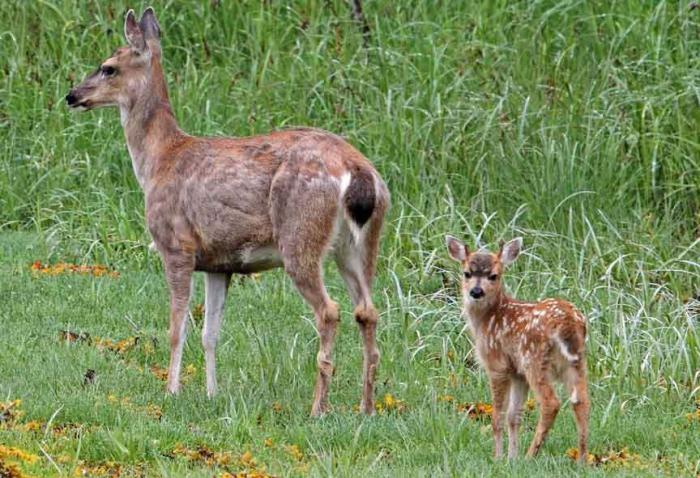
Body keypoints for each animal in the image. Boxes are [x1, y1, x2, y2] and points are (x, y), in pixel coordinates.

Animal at [65, 6, 388, 414]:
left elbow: (176, 327)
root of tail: (357, 170)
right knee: (368, 311)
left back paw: (318, 408)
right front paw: (211, 393)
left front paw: (171, 391)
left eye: (108, 67)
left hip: (300, 234)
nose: (72, 95)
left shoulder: (176, 245)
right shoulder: (219, 263)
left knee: (330, 311)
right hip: (360, 243)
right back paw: (366, 407)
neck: (158, 161)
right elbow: (210, 333)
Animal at [446, 236, 588, 464]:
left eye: (493, 275)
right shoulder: (517, 373)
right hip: (576, 362)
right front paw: (511, 458)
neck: (487, 319)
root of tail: (568, 323)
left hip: (535, 360)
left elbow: (498, 416)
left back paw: (531, 455)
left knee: (551, 403)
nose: (476, 292)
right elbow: (514, 416)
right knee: (582, 401)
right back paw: (582, 459)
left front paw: (498, 457)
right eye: (467, 273)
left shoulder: (497, 365)